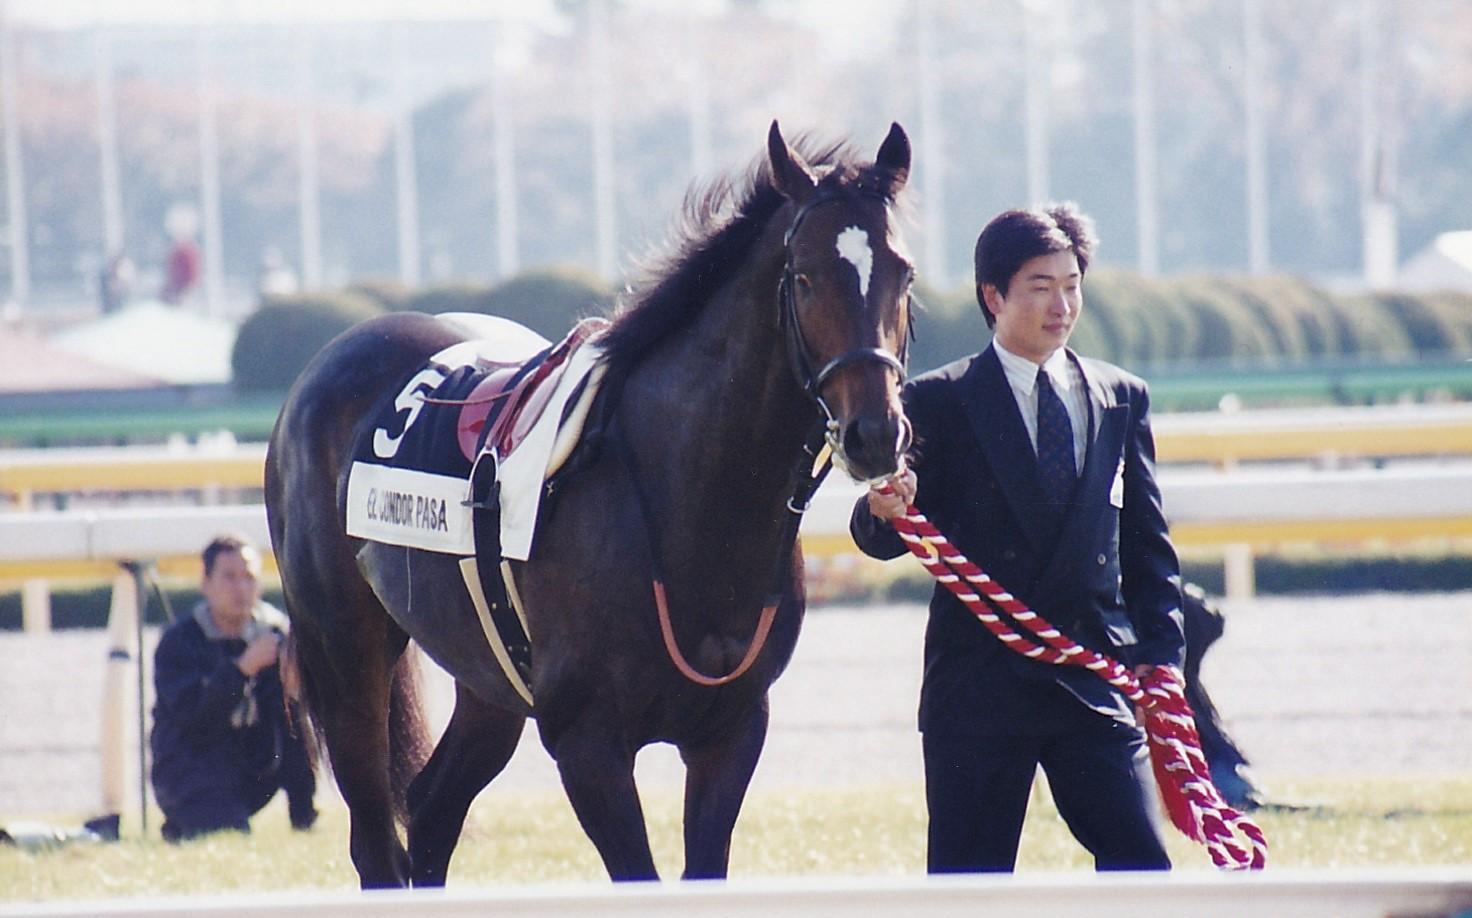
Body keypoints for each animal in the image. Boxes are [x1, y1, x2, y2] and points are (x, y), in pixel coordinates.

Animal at [262, 118, 906, 888]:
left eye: (902, 273)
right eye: (805, 277)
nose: (876, 433)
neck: (685, 496)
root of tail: (320, 371)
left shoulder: (730, 730)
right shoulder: (588, 745)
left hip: (487, 676)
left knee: (433, 807)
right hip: (346, 653)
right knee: (376, 841)